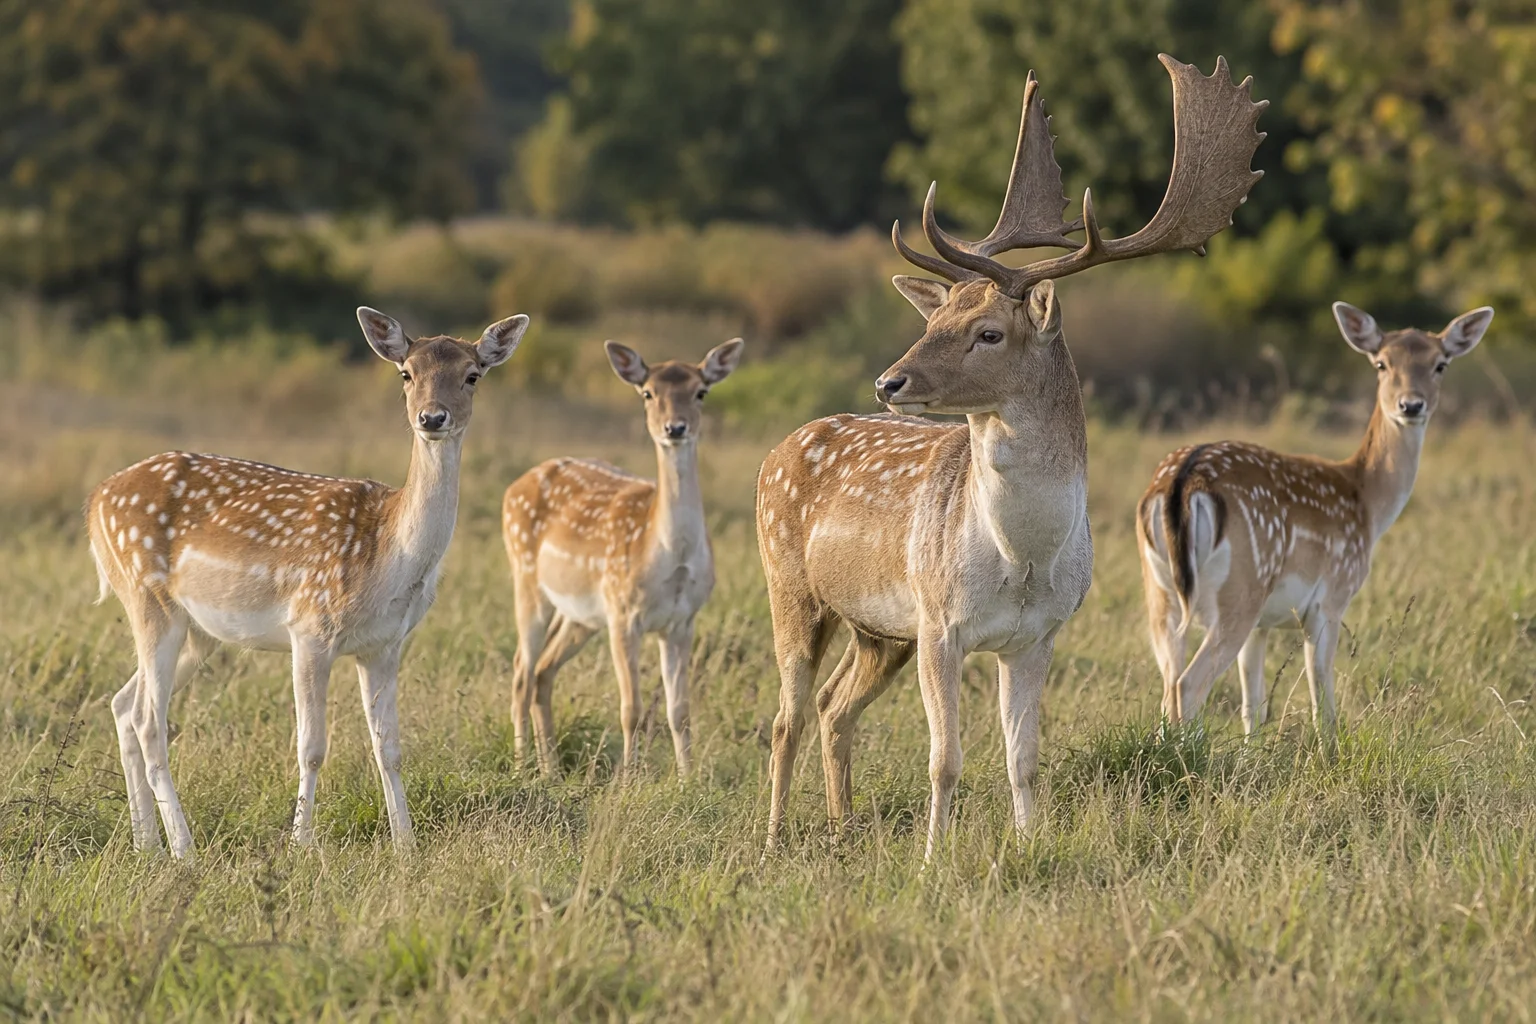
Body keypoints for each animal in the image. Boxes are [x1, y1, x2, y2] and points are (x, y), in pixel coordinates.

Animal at [85, 308, 528, 859]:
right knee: (149, 721)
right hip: (147, 597)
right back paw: (184, 850)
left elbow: (390, 748)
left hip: (198, 631)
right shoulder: (310, 627)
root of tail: (95, 502)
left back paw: (146, 844)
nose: (432, 418)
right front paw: (301, 844)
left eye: (473, 375)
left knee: (123, 705)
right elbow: (312, 747)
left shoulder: (385, 644)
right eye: (406, 374)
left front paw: (405, 845)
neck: (390, 558)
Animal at [501, 338, 744, 778]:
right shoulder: (622, 611)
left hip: (579, 615)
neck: (669, 557)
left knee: (543, 670)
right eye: (647, 393)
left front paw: (688, 780)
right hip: (526, 580)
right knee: (521, 672)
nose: (675, 428)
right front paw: (628, 781)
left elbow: (680, 710)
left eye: (701, 391)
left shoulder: (683, 619)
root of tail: (514, 486)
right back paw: (521, 766)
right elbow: (631, 709)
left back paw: (551, 769)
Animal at [755, 55, 1267, 859]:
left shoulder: (1037, 636)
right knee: (787, 717)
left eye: (988, 332)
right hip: (792, 586)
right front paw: (932, 861)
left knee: (836, 707)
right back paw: (776, 838)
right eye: (934, 318)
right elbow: (945, 759)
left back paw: (842, 829)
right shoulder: (940, 623)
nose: (890, 381)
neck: (1021, 558)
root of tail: (777, 450)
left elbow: (1021, 758)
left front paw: (1029, 847)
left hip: (879, 629)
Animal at [1137, 301, 1494, 739]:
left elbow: (1253, 705)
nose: (1411, 405)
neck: (1366, 502)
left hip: (1161, 592)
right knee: (1188, 684)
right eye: (1381, 363)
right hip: (1241, 587)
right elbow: (1322, 699)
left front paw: (1252, 750)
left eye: (1440, 364)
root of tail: (1182, 481)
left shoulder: (1263, 624)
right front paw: (1328, 749)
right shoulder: (1332, 598)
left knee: (1168, 683)